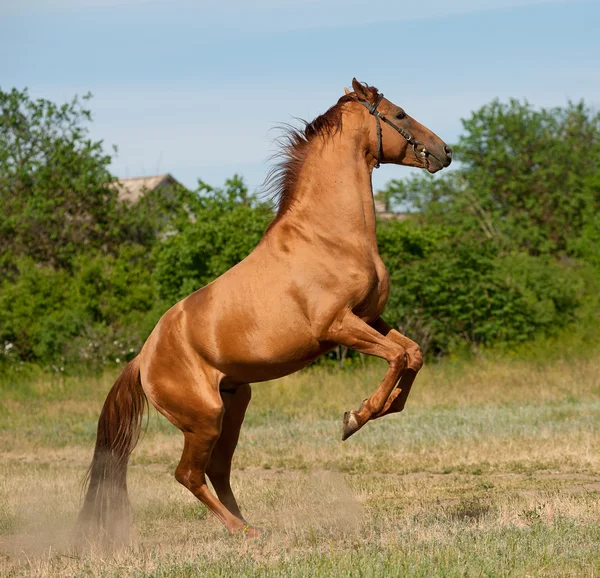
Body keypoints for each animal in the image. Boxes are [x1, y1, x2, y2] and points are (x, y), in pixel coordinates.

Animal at [77, 77, 450, 540]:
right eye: (399, 114)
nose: (445, 152)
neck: (329, 236)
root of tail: (142, 361)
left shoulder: (368, 318)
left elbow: (412, 353)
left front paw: (379, 410)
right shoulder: (337, 326)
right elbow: (398, 356)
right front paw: (355, 417)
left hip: (236, 404)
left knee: (217, 469)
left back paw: (250, 525)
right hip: (205, 419)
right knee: (189, 474)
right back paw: (242, 531)